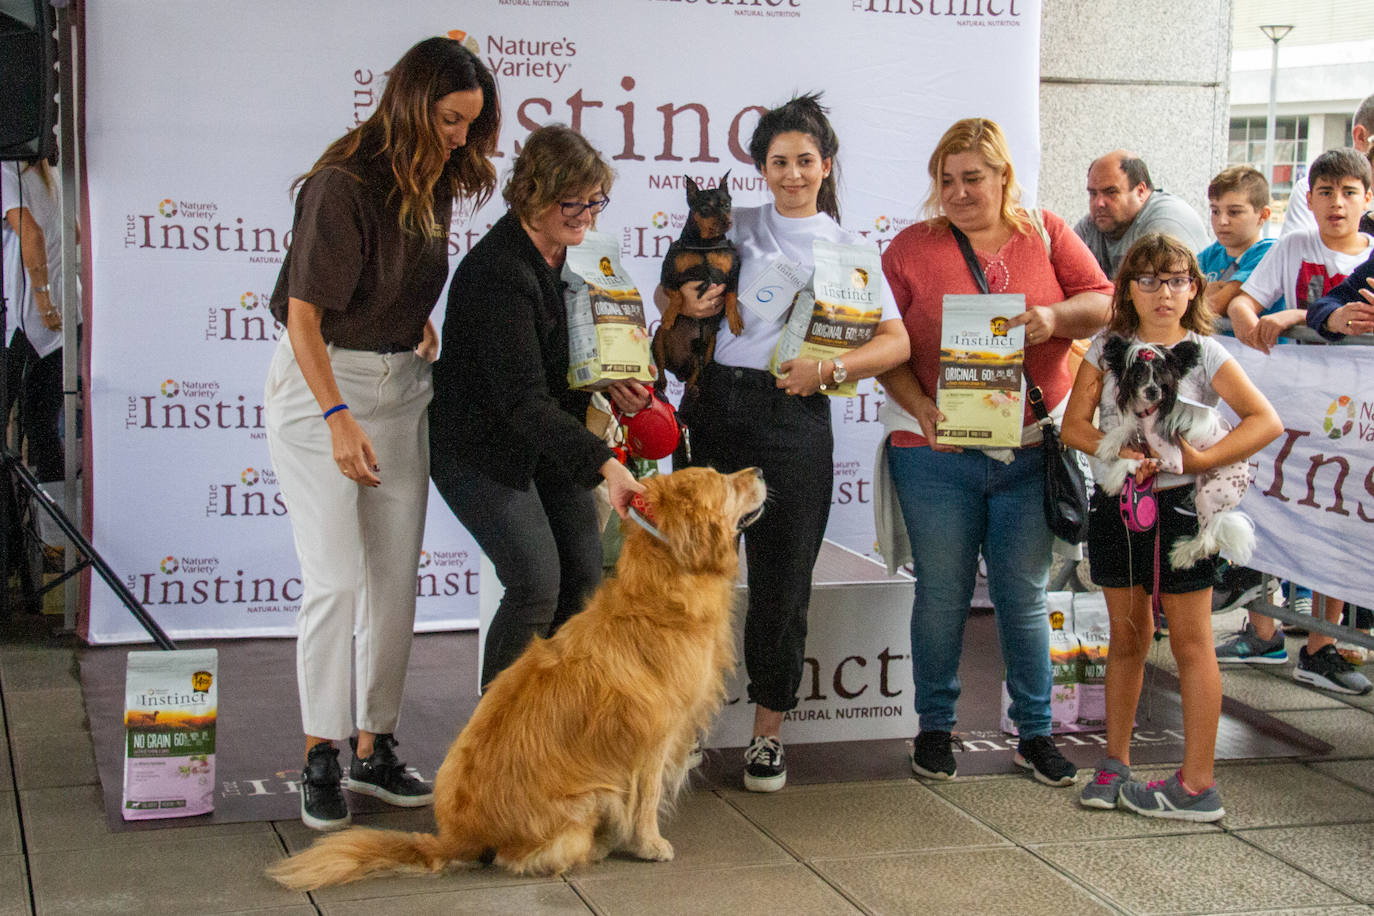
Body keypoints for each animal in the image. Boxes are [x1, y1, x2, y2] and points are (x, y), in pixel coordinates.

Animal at [262, 466, 769, 889]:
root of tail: (456, 836)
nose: (760, 470)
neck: (659, 600)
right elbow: (646, 801)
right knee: (523, 858)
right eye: (724, 481)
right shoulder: (653, 740)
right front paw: (650, 845)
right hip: (590, 798)